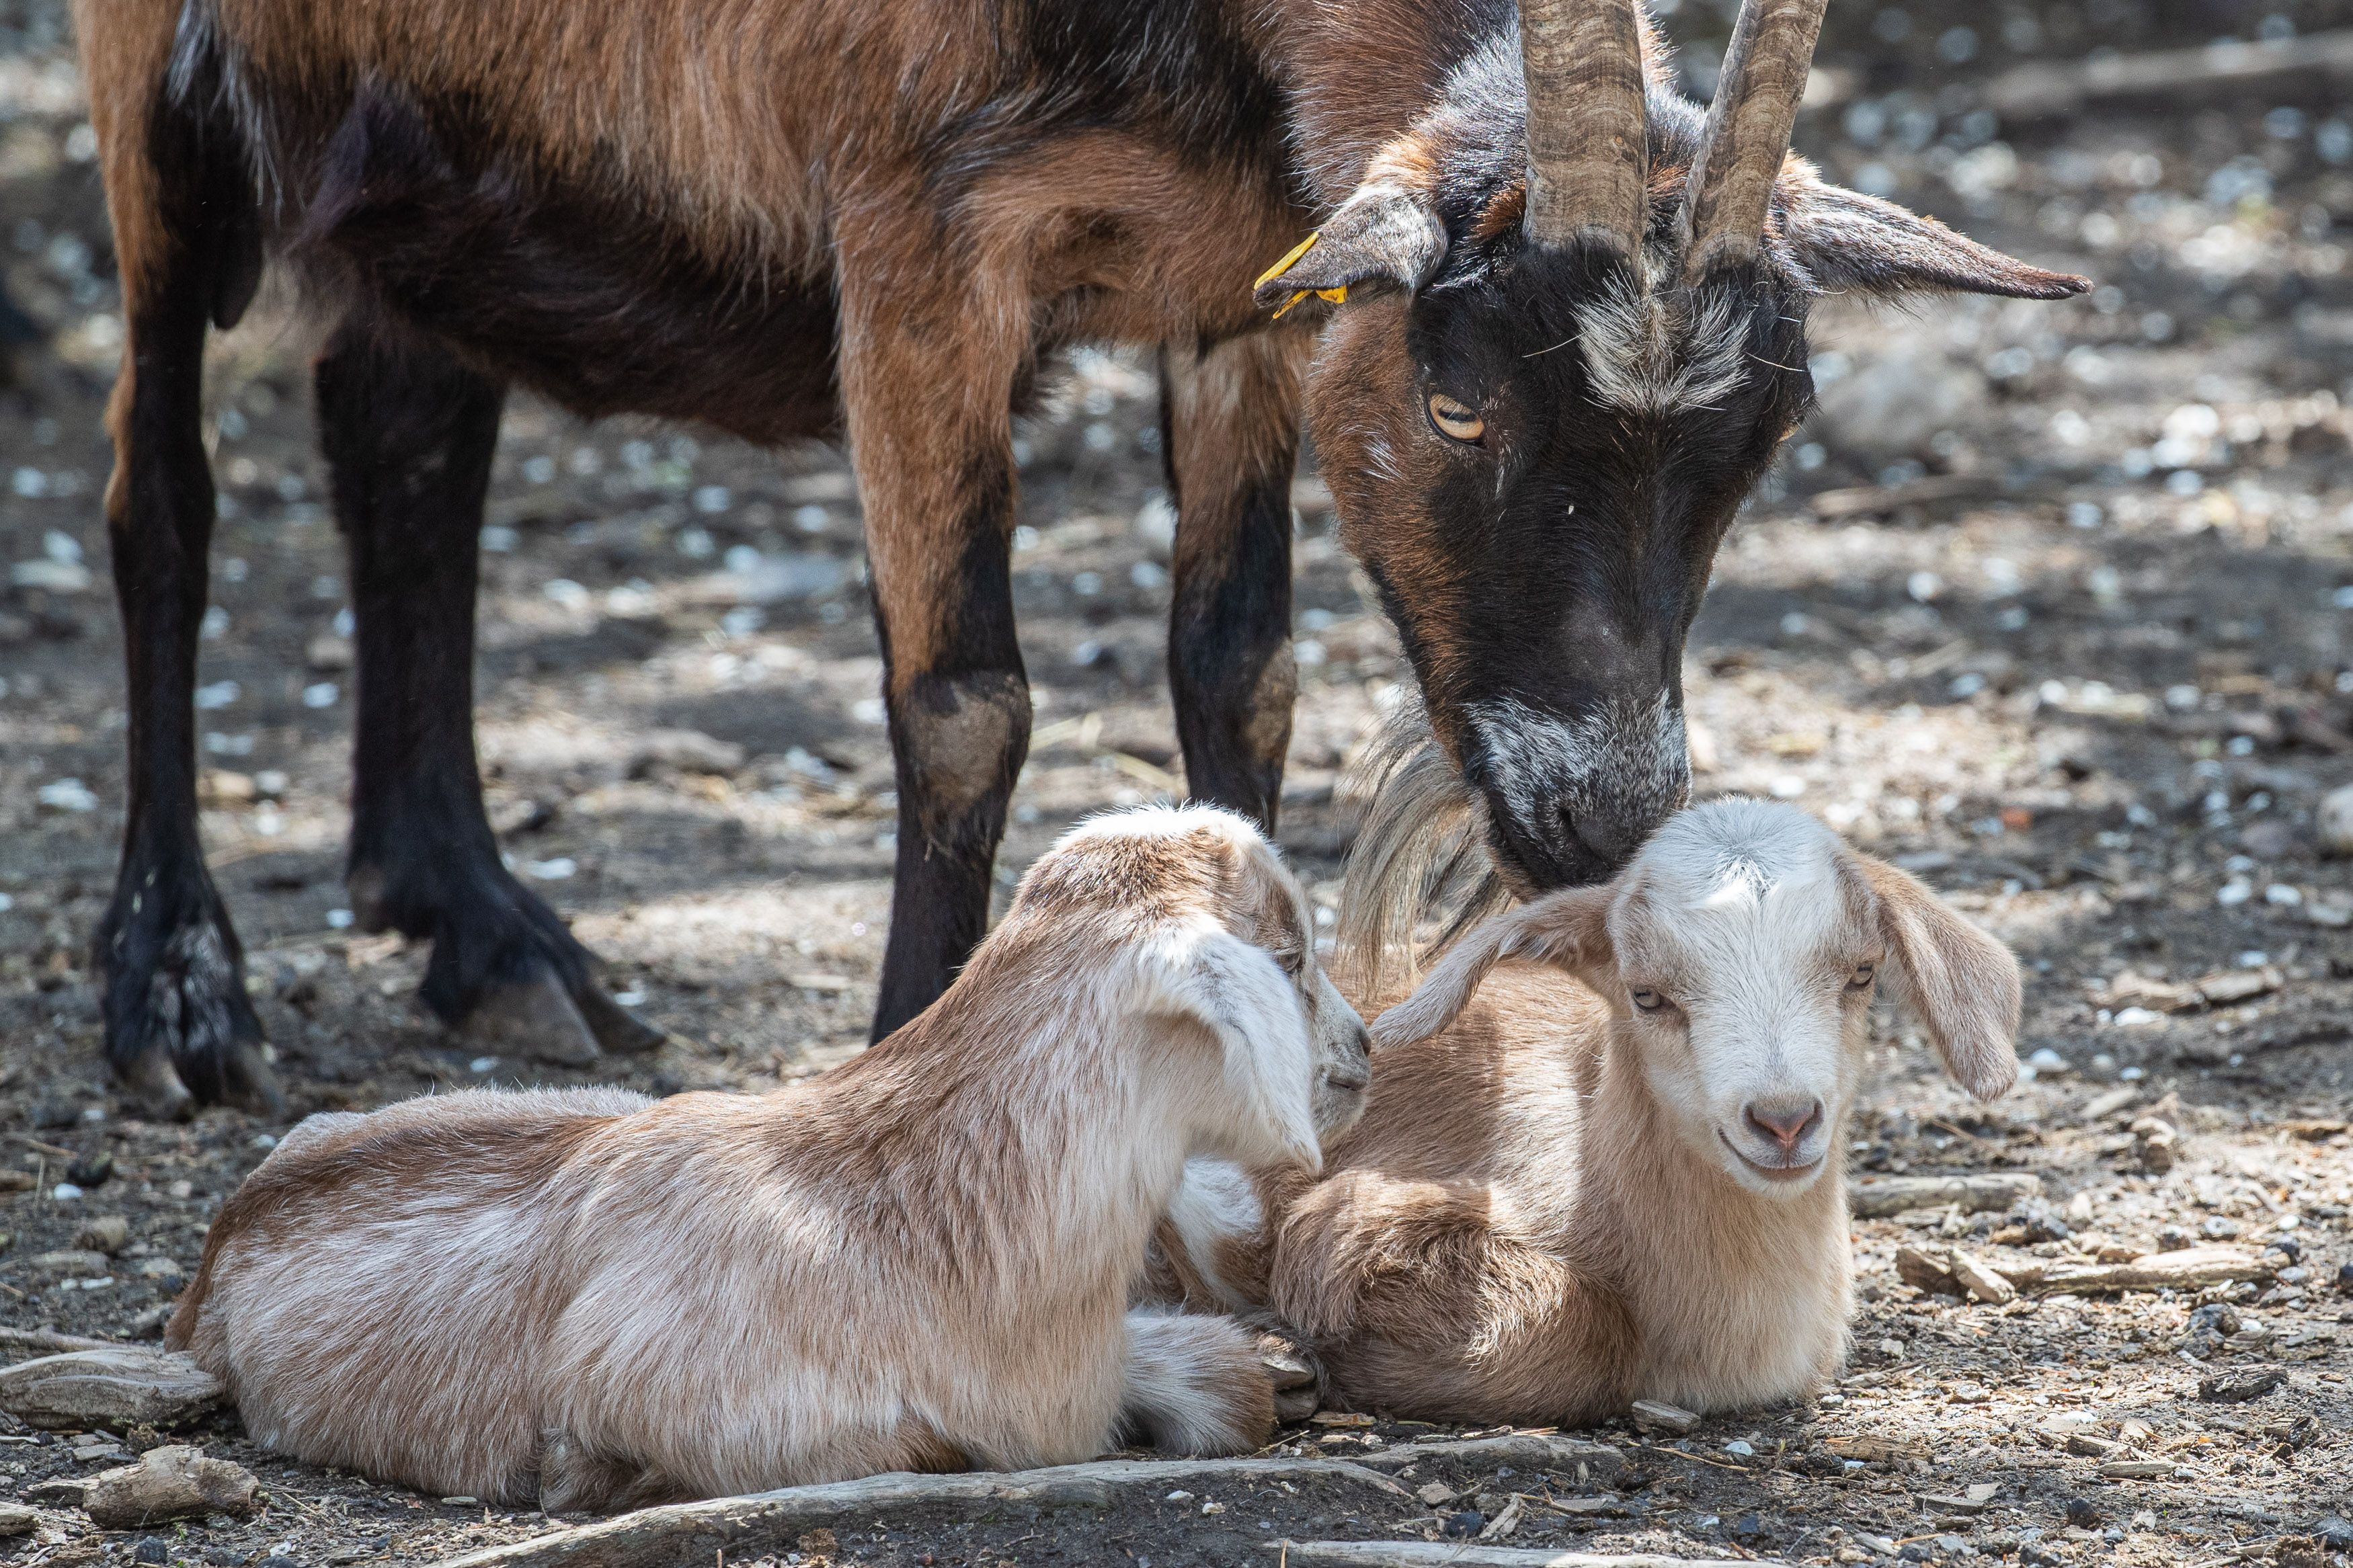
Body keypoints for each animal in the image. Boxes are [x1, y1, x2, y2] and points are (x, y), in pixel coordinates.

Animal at [76, 0, 2084, 1112]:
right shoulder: (912, 245)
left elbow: (1240, 674)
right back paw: (177, 987)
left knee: (405, 426)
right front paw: (901, 1061)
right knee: (161, 494)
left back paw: (483, 926)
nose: (1595, 816)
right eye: (1456, 405)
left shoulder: (1242, 287)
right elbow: (968, 696)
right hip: (157, 96)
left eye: (1766, 441)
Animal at [1151, 798, 2019, 1423]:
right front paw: (1310, 1357)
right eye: (1647, 993)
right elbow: (1585, 1327)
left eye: (1862, 973)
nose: (1781, 1119)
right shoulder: (1350, 1219)